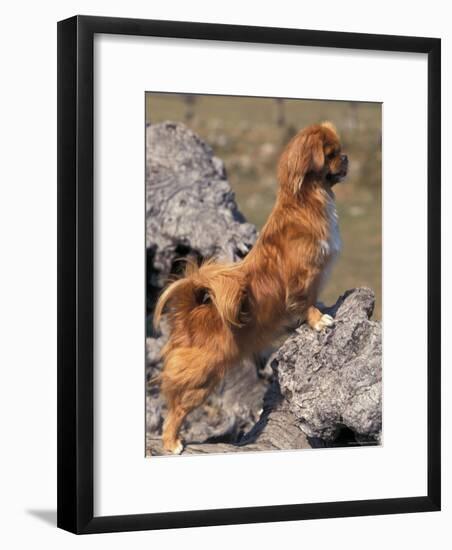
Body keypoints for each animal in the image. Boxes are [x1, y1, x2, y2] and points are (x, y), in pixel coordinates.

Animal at [154, 123, 348, 454]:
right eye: (332, 154)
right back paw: (171, 442)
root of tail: (189, 315)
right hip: (202, 378)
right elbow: (306, 300)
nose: (346, 158)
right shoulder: (304, 277)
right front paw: (318, 320)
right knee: (176, 409)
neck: (307, 201)